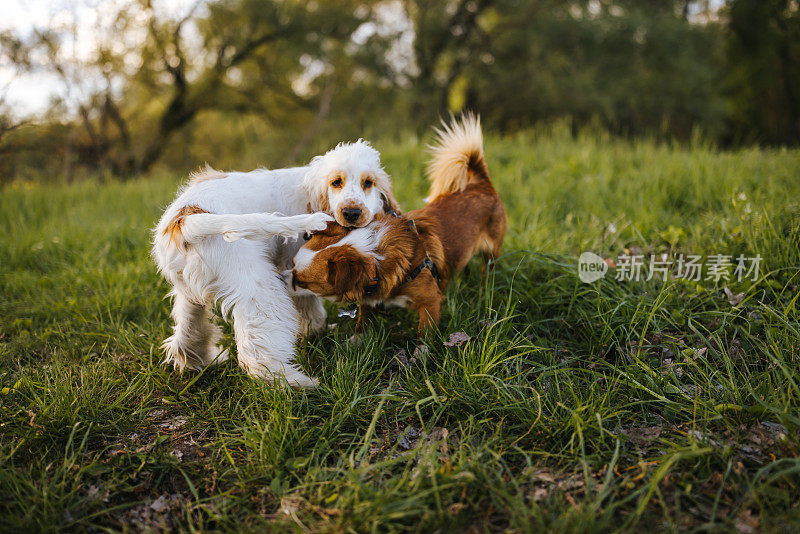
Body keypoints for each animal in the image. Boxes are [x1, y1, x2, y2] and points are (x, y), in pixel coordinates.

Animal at [152, 140, 398, 388]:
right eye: (336, 182)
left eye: (368, 183)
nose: (351, 213)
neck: (312, 190)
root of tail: (187, 219)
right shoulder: (296, 265)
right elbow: (309, 305)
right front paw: (315, 331)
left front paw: (316, 332)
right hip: (258, 288)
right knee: (257, 354)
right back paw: (295, 383)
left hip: (188, 290)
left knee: (187, 331)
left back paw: (198, 361)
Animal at [288, 115, 506, 336]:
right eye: (292, 264)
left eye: (302, 282)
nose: (282, 278)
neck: (375, 253)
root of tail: (480, 183)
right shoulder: (369, 300)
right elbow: (363, 324)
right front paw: (357, 340)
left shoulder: (431, 302)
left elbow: (424, 335)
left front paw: (423, 346)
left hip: (491, 253)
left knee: (487, 270)